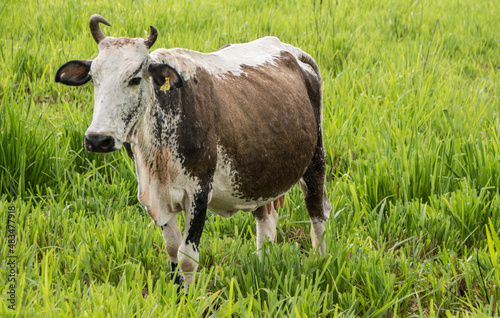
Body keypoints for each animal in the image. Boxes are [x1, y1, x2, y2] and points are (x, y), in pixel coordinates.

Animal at [55, 14, 332, 288]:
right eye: (94, 78)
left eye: (134, 78)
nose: (98, 139)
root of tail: (295, 53)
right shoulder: (156, 197)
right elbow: (172, 249)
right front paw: (176, 292)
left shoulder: (198, 193)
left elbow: (188, 258)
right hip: (260, 177)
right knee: (266, 220)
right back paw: (262, 264)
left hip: (315, 161)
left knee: (318, 215)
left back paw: (321, 261)